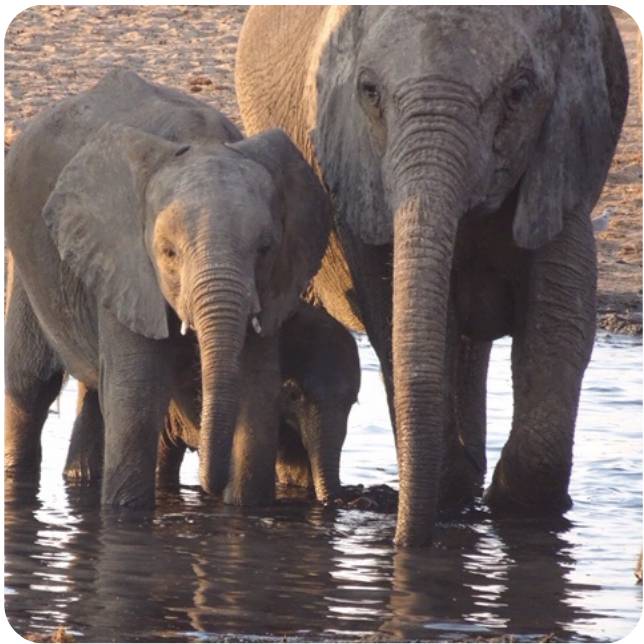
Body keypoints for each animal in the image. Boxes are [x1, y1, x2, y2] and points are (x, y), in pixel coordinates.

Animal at [2, 69, 330, 508]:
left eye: (265, 248)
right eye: (168, 253)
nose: (209, 487)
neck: (202, 143)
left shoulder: (274, 281)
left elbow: (257, 394)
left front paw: (242, 511)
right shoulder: (125, 260)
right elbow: (137, 401)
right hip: (25, 259)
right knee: (29, 386)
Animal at [234, 7, 628, 544]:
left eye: (518, 92)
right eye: (370, 92)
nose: (402, 541)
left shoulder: (565, 156)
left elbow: (561, 321)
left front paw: (514, 511)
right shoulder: (355, 166)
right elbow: (391, 314)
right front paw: (445, 498)